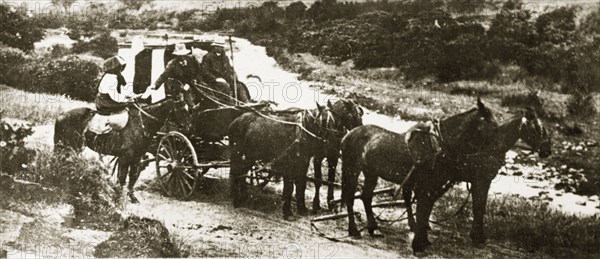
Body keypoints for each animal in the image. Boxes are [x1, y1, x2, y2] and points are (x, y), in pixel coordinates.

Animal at [54, 99, 190, 203]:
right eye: (182, 109)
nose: (188, 127)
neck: (140, 124)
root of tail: (60, 116)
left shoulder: (136, 158)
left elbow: (132, 177)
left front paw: (132, 197)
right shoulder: (125, 157)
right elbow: (122, 177)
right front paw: (118, 196)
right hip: (70, 146)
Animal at [340, 98, 500, 241]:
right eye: (493, 126)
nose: (496, 160)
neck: (437, 145)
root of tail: (348, 134)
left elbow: (424, 206)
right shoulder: (426, 184)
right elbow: (423, 207)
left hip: (371, 173)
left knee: (366, 196)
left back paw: (373, 228)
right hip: (352, 169)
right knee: (350, 196)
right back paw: (354, 230)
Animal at [406, 106, 552, 253]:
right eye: (537, 128)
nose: (547, 150)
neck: (491, 146)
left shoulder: (479, 182)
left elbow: (479, 206)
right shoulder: (482, 181)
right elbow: (479, 207)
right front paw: (478, 237)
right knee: (410, 195)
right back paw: (414, 226)